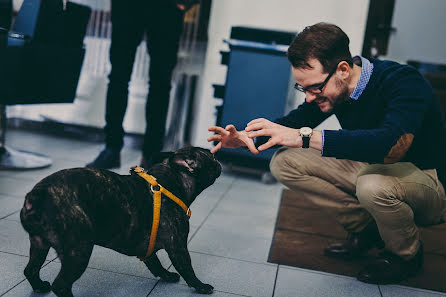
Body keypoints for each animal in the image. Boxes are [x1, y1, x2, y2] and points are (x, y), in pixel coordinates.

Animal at [20, 146, 222, 296]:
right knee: (61, 285)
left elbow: (155, 263)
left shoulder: (148, 247)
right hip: (78, 251)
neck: (170, 182)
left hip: (39, 244)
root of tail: (38, 195)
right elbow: (187, 268)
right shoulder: (178, 246)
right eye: (211, 155)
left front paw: (166, 275)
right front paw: (201, 286)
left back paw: (39, 286)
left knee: (31, 269)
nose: (218, 160)